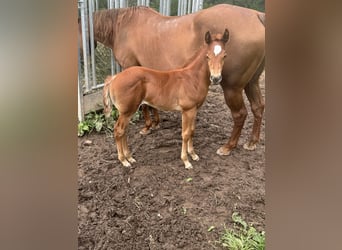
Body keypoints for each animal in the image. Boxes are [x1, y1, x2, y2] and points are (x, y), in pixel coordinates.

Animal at [79, 3, 266, 155]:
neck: (123, 26)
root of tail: (257, 16)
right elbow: (150, 102)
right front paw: (155, 123)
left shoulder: (131, 67)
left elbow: (144, 105)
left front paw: (147, 126)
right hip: (251, 82)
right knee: (258, 107)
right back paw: (252, 142)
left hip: (232, 88)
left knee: (240, 114)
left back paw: (228, 147)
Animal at [103, 30, 228, 169]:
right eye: (207, 56)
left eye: (224, 56)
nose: (216, 78)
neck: (192, 78)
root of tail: (114, 78)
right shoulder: (187, 110)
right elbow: (185, 134)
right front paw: (186, 161)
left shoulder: (194, 109)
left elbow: (192, 131)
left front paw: (193, 155)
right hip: (127, 111)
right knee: (119, 131)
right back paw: (124, 160)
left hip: (128, 111)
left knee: (124, 131)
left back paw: (129, 157)